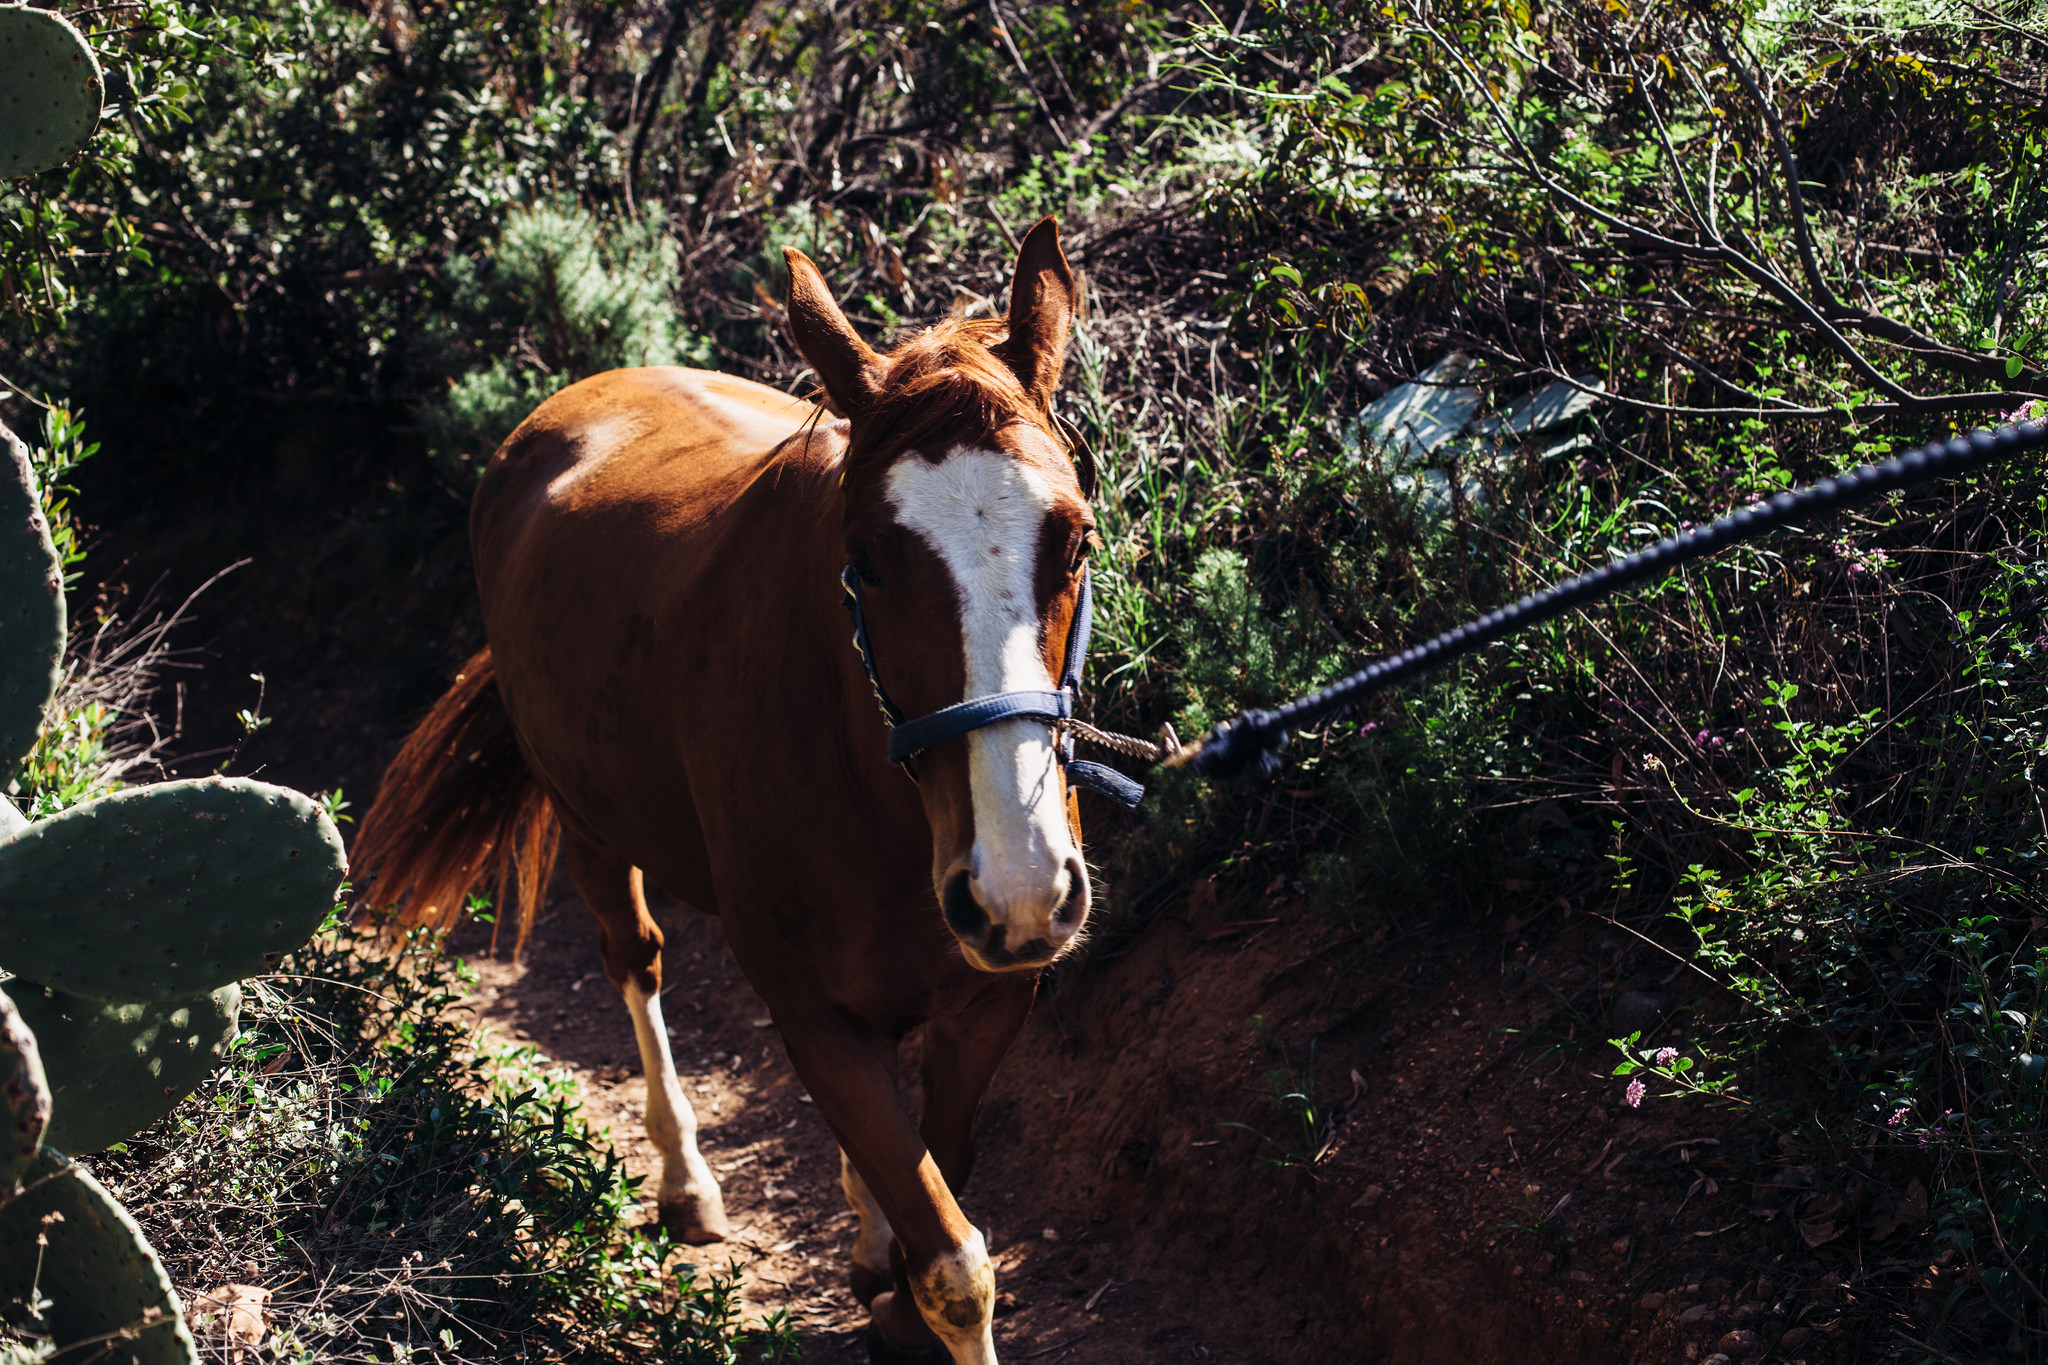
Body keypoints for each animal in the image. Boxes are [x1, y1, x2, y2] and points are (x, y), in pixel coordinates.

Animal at [351, 219, 1119, 1364]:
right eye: (867, 559)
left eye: (1072, 538)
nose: (1019, 888)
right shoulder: (808, 1012)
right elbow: (955, 1266)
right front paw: (904, 1279)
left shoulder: (989, 1000)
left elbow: (936, 1193)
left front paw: (882, 1276)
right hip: (588, 826)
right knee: (636, 960)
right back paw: (686, 1182)